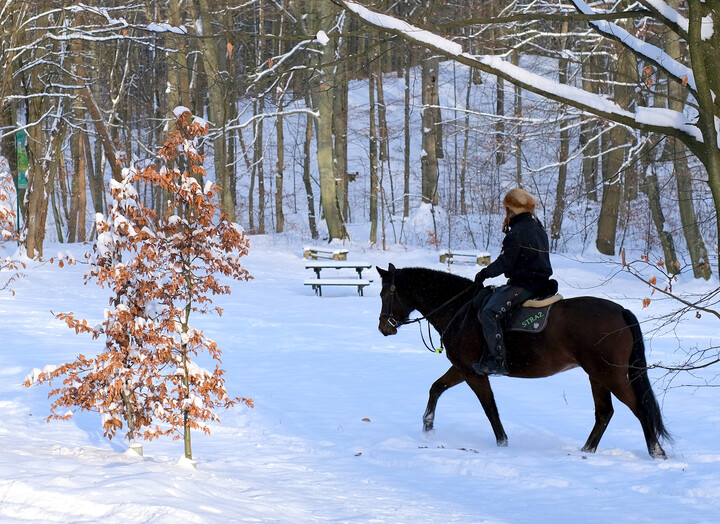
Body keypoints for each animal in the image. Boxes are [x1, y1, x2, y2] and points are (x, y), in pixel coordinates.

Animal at [376, 262, 668, 458]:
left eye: (384, 294)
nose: (383, 328)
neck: (459, 309)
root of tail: (620, 311)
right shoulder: (462, 368)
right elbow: (436, 388)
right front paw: (427, 428)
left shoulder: (473, 372)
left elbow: (490, 408)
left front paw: (503, 444)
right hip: (597, 375)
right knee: (604, 413)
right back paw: (585, 451)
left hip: (611, 374)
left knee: (640, 409)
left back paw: (657, 453)